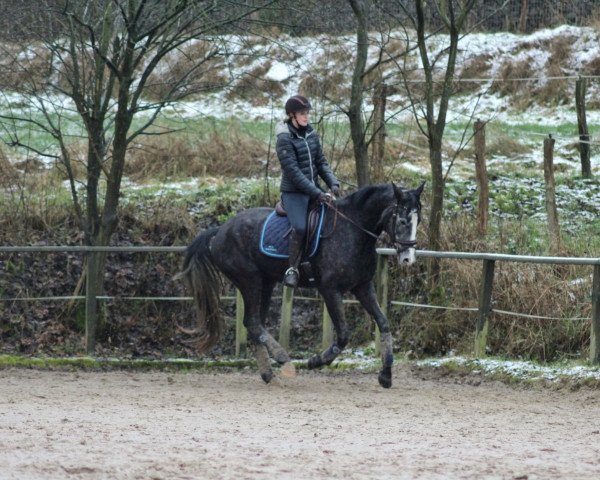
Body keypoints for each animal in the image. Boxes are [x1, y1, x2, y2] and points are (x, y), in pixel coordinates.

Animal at [176, 182, 424, 388]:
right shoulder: (330, 290)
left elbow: (384, 323)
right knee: (253, 322)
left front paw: (386, 374)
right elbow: (343, 334)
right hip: (249, 281)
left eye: (418, 220)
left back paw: (269, 374)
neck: (354, 230)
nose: (408, 259)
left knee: (253, 323)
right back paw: (284, 360)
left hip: (265, 283)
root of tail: (220, 231)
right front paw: (317, 361)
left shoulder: (363, 286)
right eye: (402, 220)